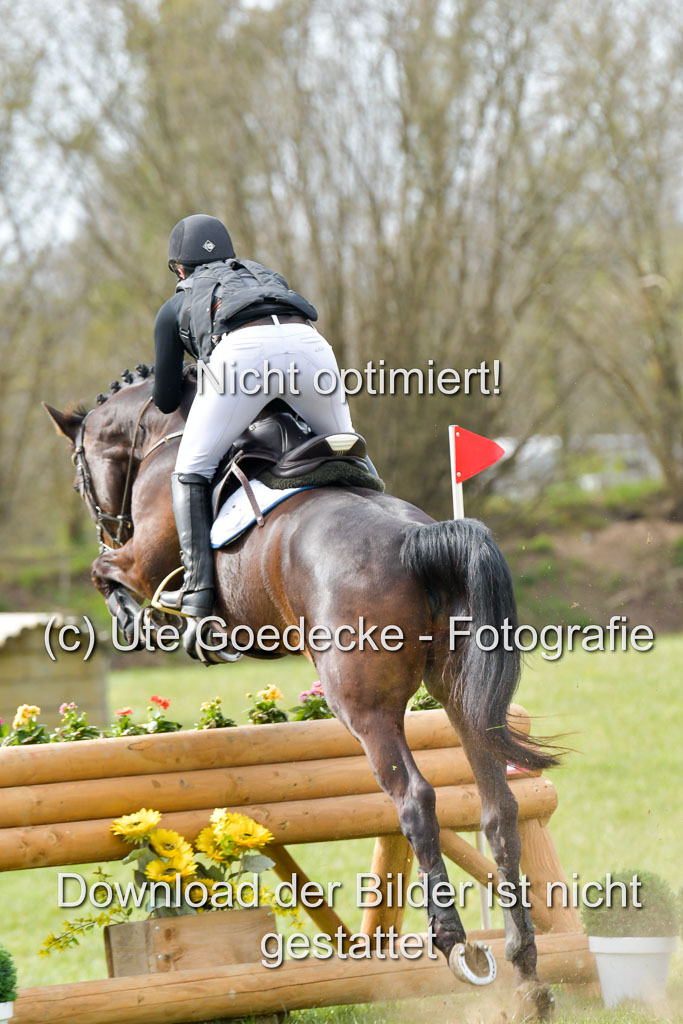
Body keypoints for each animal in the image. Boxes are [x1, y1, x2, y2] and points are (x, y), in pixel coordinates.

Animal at [44, 370, 557, 1015]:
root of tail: (417, 538)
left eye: (80, 474)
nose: (107, 522)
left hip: (363, 708)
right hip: (460, 697)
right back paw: (527, 971)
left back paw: (456, 945)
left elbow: (104, 572)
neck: (163, 435)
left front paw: (140, 621)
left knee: (415, 799)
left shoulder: (141, 561)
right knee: (499, 809)